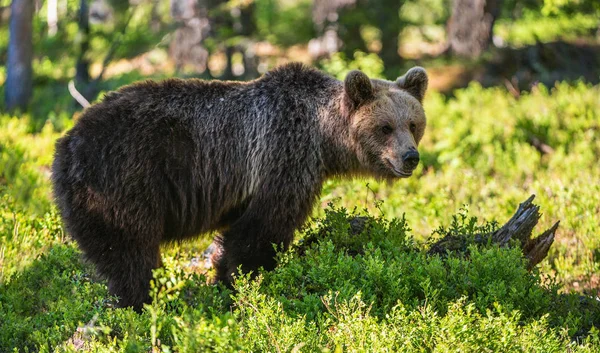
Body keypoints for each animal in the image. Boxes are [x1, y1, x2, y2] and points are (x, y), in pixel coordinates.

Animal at [51, 63, 426, 310]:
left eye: (413, 123)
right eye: (385, 127)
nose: (410, 157)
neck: (324, 138)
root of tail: (65, 143)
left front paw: (222, 280)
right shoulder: (281, 154)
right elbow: (261, 231)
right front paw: (248, 284)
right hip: (122, 183)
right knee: (130, 254)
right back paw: (140, 304)